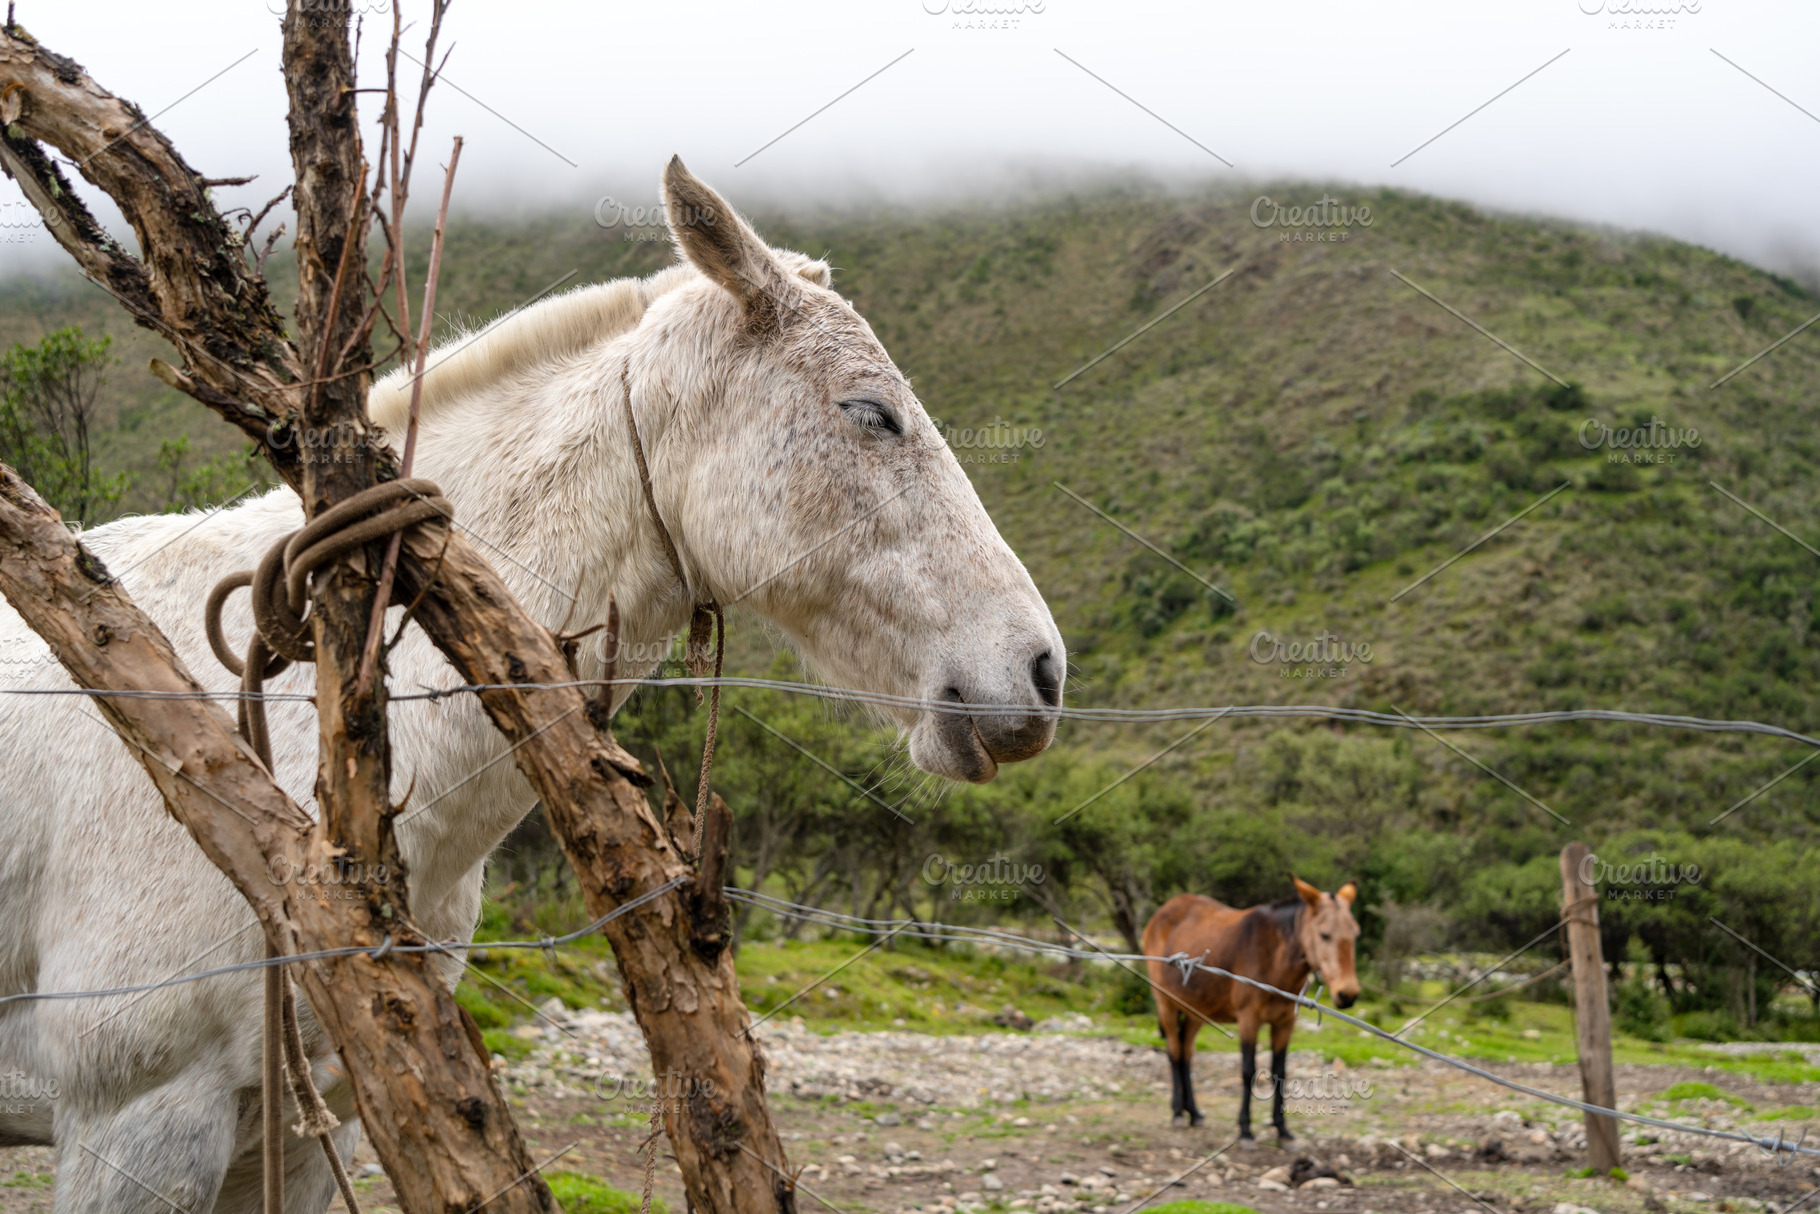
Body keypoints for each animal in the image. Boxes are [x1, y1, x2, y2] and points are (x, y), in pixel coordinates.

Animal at [1142, 878, 1360, 1145]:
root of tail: (1161, 912)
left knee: (1186, 1053)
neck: (1274, 957)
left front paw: (1282, 1129)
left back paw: (1194, 1112)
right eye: (1324, 934)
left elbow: (1280, 1073)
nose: (1348, 994)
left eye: (1355, 934)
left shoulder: (1285, 1023)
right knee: (1174, 1051)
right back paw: (1177, 1113)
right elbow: (1248, 1072)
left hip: (1196, 1010)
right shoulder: (1249, 1020)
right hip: (1166, 1004)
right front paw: (1245, 1129)